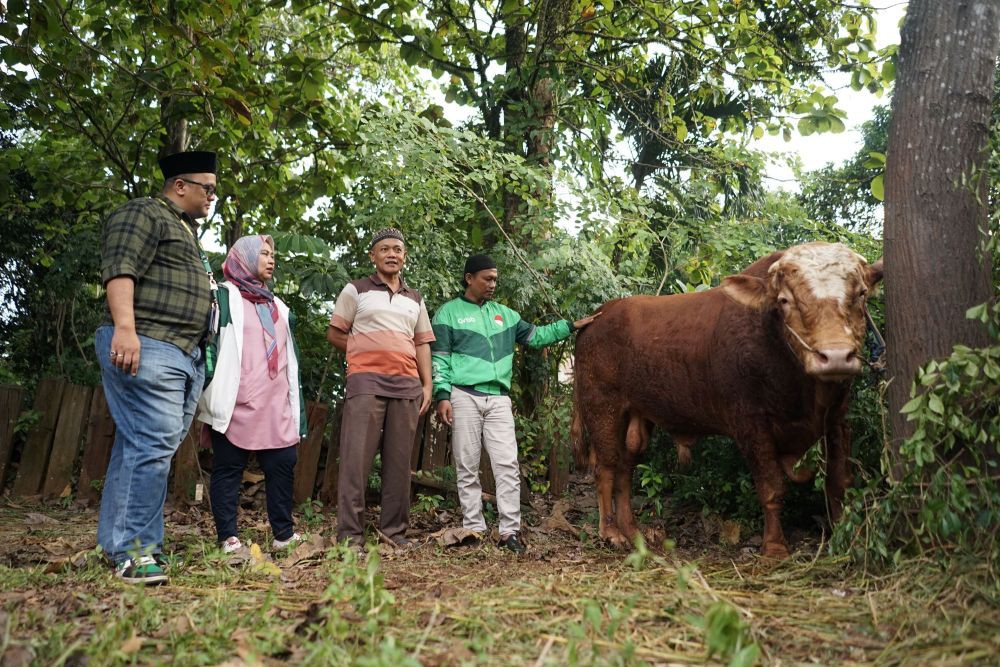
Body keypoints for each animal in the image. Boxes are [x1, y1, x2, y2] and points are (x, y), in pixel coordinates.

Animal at [572, 241, 884, 560]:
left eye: (861, 294)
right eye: (784, 300)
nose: (835, 356)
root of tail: (595, 319)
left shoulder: (837, 418)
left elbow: (839, 481)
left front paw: (847, 539)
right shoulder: (750, 423)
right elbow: (772, 487)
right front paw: (774, 547)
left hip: (637, 416)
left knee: (625, 470)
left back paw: (633, 532)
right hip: (602, 409)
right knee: (606, 468)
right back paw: (611, 532)